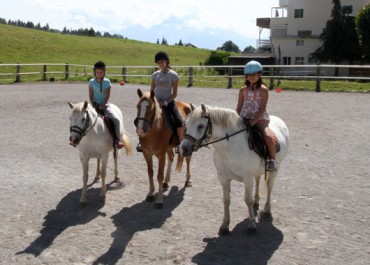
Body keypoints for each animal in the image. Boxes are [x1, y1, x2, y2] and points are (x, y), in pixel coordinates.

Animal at [179, 104, 290, 234]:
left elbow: (248, 200)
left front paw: (252, 225)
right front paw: (224, 225)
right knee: (258, 180)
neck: (229, 147)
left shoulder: (247, 178)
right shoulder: (223, 178)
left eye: (200, 126)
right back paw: (257, 201)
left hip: (276, 168)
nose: (184, 149)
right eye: (186, 124)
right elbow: (226, 200)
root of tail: (279, 120)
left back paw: (267, 209)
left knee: (270, 186)